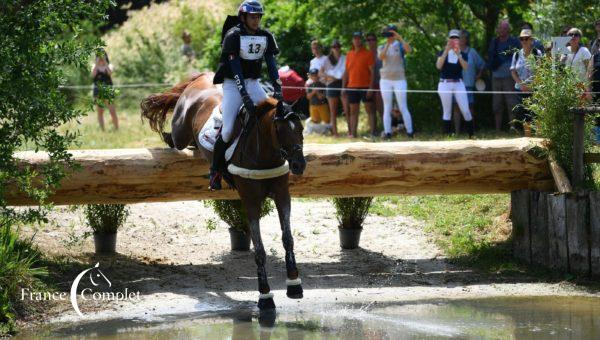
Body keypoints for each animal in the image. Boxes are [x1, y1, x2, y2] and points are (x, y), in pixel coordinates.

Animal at [141, 72, 304, 310]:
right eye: (279, 130)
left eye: (301, 129)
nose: (300, 165)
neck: (265, 153)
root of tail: (201, 77)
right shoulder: (251, 200)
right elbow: (260, 249)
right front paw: (265, 295)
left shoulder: (283, 195)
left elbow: (287, 238)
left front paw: (294, 283)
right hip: (181, 128)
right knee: (176, 139)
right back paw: (170, 138)